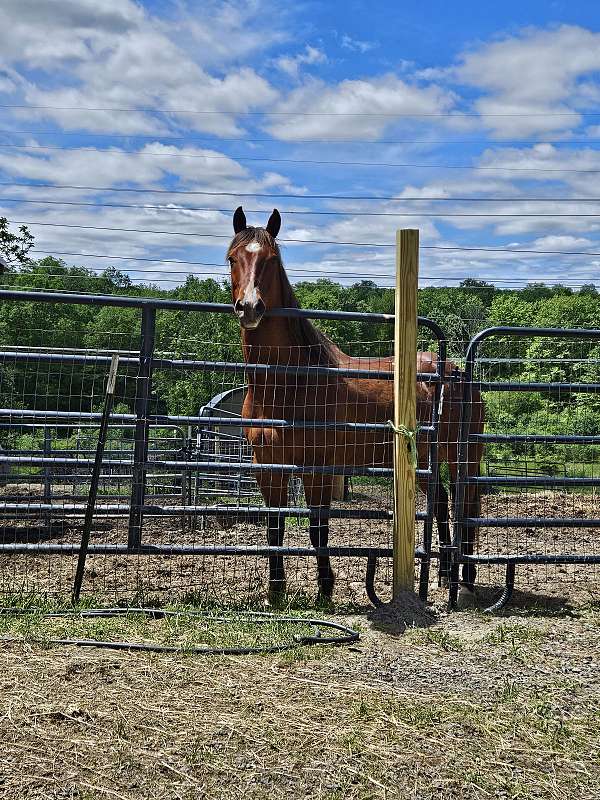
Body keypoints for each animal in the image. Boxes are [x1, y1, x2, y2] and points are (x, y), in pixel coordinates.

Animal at [227, 206, 484, 603]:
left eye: (271, 259)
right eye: (233, 258)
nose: (250, 307)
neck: (288, 384)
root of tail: (455, 372)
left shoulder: (318, 468)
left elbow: (318, 528)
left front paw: (325, 588)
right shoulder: (267, 466)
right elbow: (275, 527)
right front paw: (276, 590)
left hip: (461, 455)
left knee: (464, 503)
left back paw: (465, 578)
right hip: (426, 460)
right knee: (442, 502)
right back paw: (443, 575)